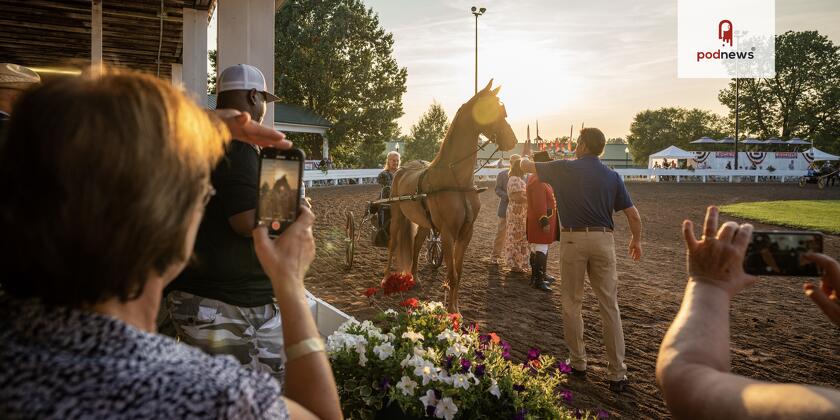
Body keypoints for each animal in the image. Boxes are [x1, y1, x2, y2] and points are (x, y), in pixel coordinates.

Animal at [384, 80, 516, 314]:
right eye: (490, 109)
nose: (512, 140)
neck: (456, 181)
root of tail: (401, 169)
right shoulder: (447, 232)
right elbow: (452, 273)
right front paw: (451, 311)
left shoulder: (466, 232)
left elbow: (459, 272)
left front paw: (456, 309)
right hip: (398, 215)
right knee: (392, 244)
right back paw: (384, 280)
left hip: (424, 222)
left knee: (416, 244)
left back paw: (415, 277)